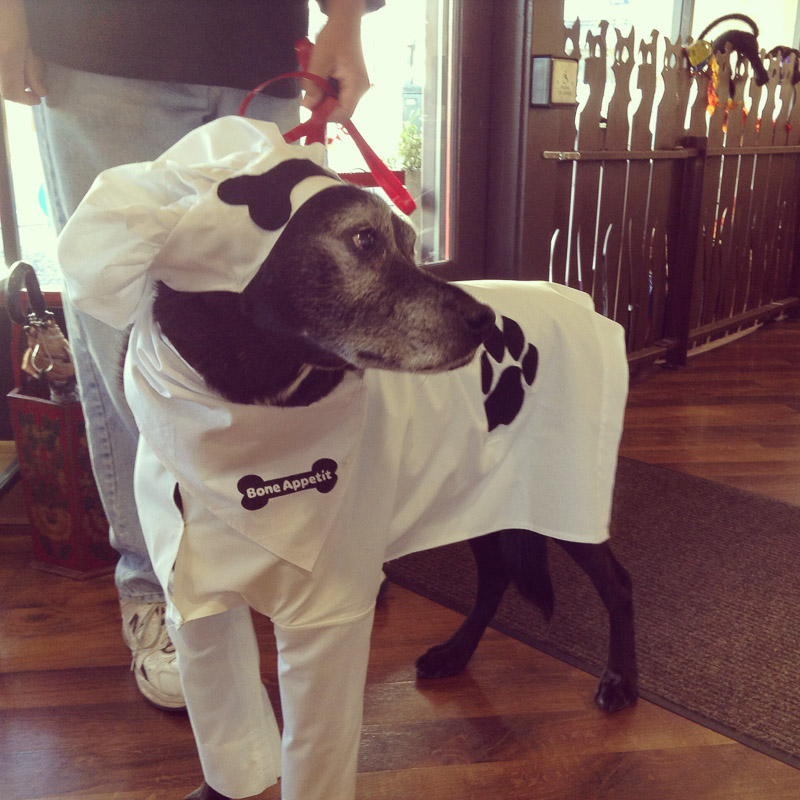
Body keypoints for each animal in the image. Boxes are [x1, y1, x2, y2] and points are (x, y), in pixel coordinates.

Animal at [58, 117, 637, 800]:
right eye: (364, 238)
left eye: (410, 244)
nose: (485, 320)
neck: (244, 413)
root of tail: (582, 301)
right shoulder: (197, 611)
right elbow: (226, 732)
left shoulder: (325, 618)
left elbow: (315, 747)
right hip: (477, 496)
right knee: (496, 576)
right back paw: (456, 653)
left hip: (562, 498)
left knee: (617, 584)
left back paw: (620, 682)